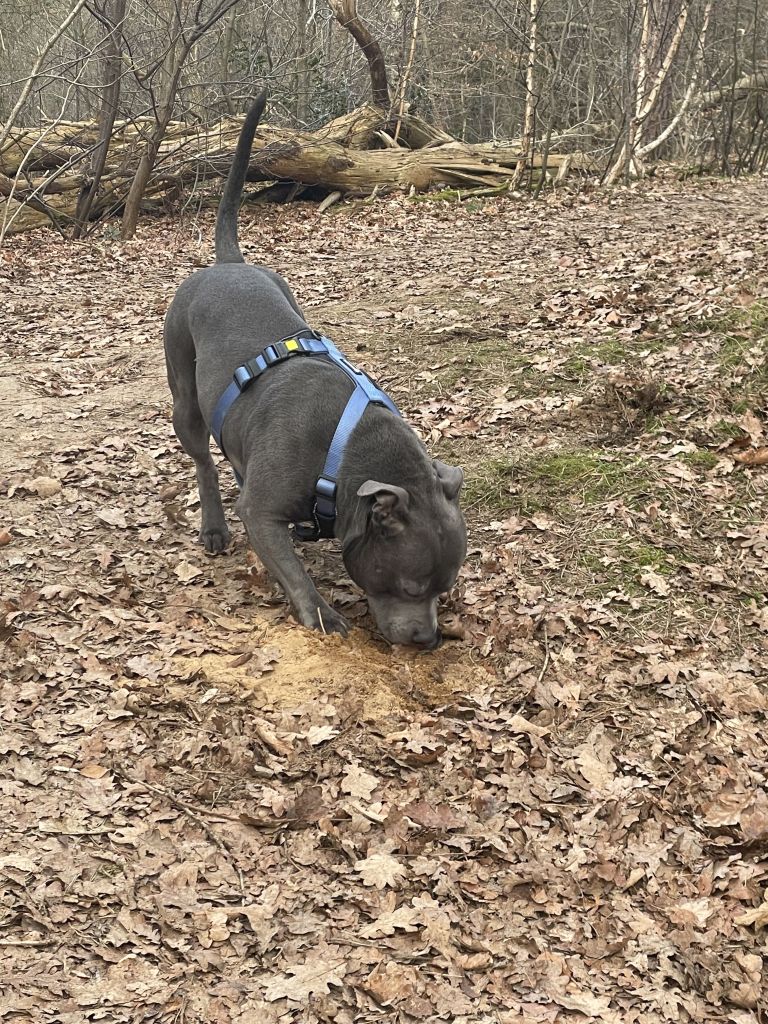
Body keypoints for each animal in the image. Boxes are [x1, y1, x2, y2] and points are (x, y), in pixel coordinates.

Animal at [163, 92, 466, 648]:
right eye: (411, 587)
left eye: (445, 586)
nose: (429, 639)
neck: (343, 452)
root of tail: (227, 264)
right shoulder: (260, 513)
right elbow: (291, 569)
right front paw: (321, 612)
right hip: (184, 399)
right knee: (204, 462)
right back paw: (213, 526)